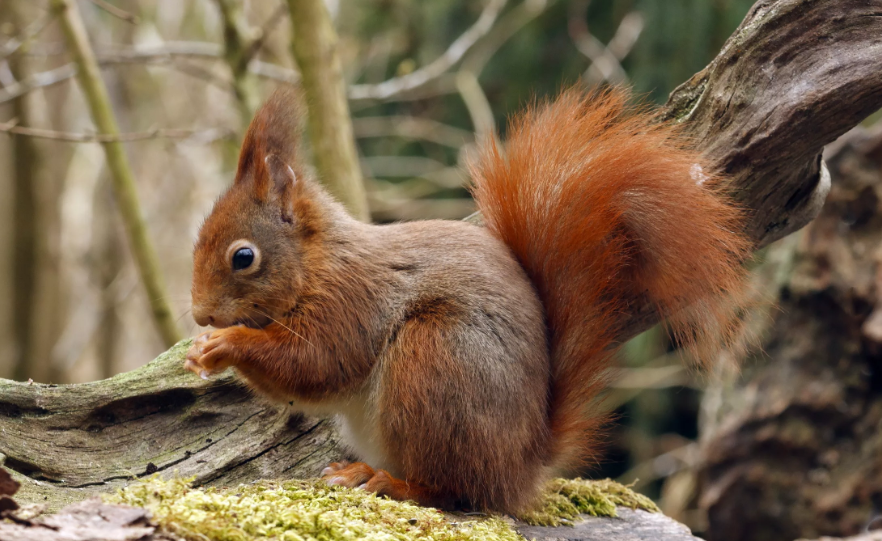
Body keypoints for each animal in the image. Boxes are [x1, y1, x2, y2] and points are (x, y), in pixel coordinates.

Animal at [185, 87, 751, 514]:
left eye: (243, 256)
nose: (199, 313)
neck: (318, 263)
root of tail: (521, 467)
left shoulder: (352, 302)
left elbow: (315, 362)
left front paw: (224, 344)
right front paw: (201, 349)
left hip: (436, 359)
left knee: (455, 491)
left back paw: (389, 482)